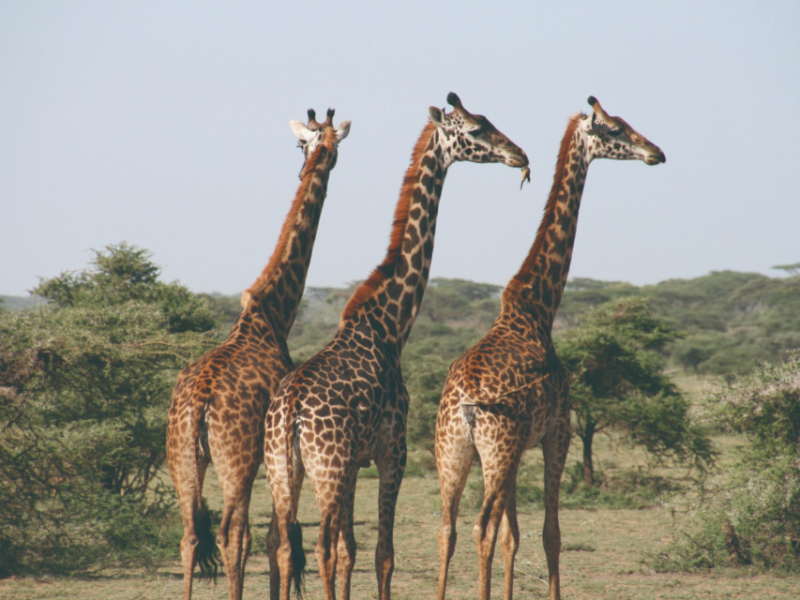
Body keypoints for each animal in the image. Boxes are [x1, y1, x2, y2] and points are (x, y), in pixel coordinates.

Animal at [166, 108, 350, 600]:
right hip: (237, 461)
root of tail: (199, 403)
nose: (315, 164)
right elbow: (276, 538)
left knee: (189, 535)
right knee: (234, 534)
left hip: (181, 458)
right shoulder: (276, 457)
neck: (273, 314)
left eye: (307, 143)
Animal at [262, 92, 524, 600]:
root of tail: (290, 413)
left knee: (285, 546)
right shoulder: (392, 451)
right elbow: (382, 553)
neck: (390, 326)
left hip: (285, 473)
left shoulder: (356, 462)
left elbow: (352, 550)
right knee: (318, 547)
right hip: (326, 470)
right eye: (476, 129)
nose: (519, 155)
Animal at [434, 96, 664, 596]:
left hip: (453, 453)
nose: (656, 152)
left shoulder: (522, 446)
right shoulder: (557, 432)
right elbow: (549, 533)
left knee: (448, 529)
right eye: (615, 129)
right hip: (495, 450)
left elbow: (514, 536)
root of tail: (465, 405)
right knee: (481, 527)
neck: (538, 308)